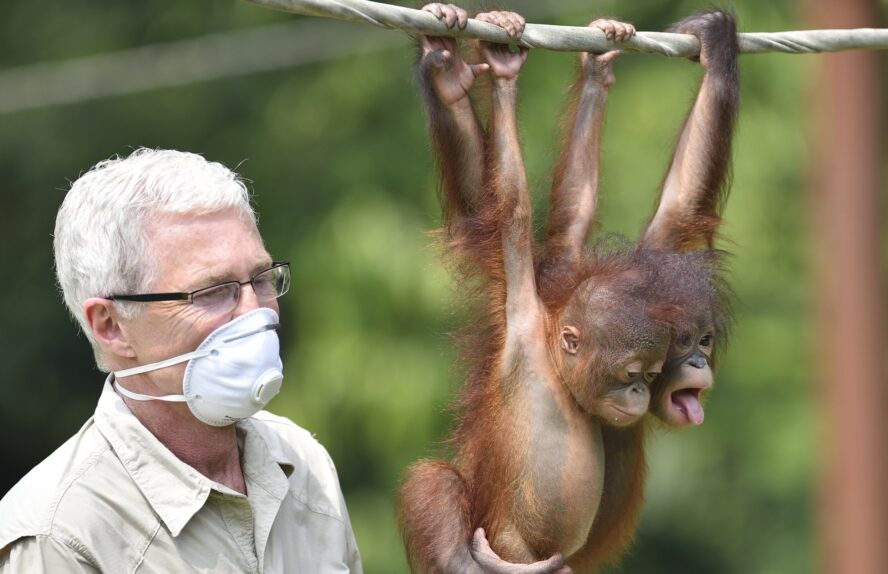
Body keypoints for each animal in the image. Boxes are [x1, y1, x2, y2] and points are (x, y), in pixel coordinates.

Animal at [399, 5, 739, 573]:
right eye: (684, 345)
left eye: (704, 341)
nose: (695, 361)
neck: (561, 378)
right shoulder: (525, 308)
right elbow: (512, 210)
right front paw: (503, 69)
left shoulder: (650, 262)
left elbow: (677, 204)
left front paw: (711, 41)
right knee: (434, 480)